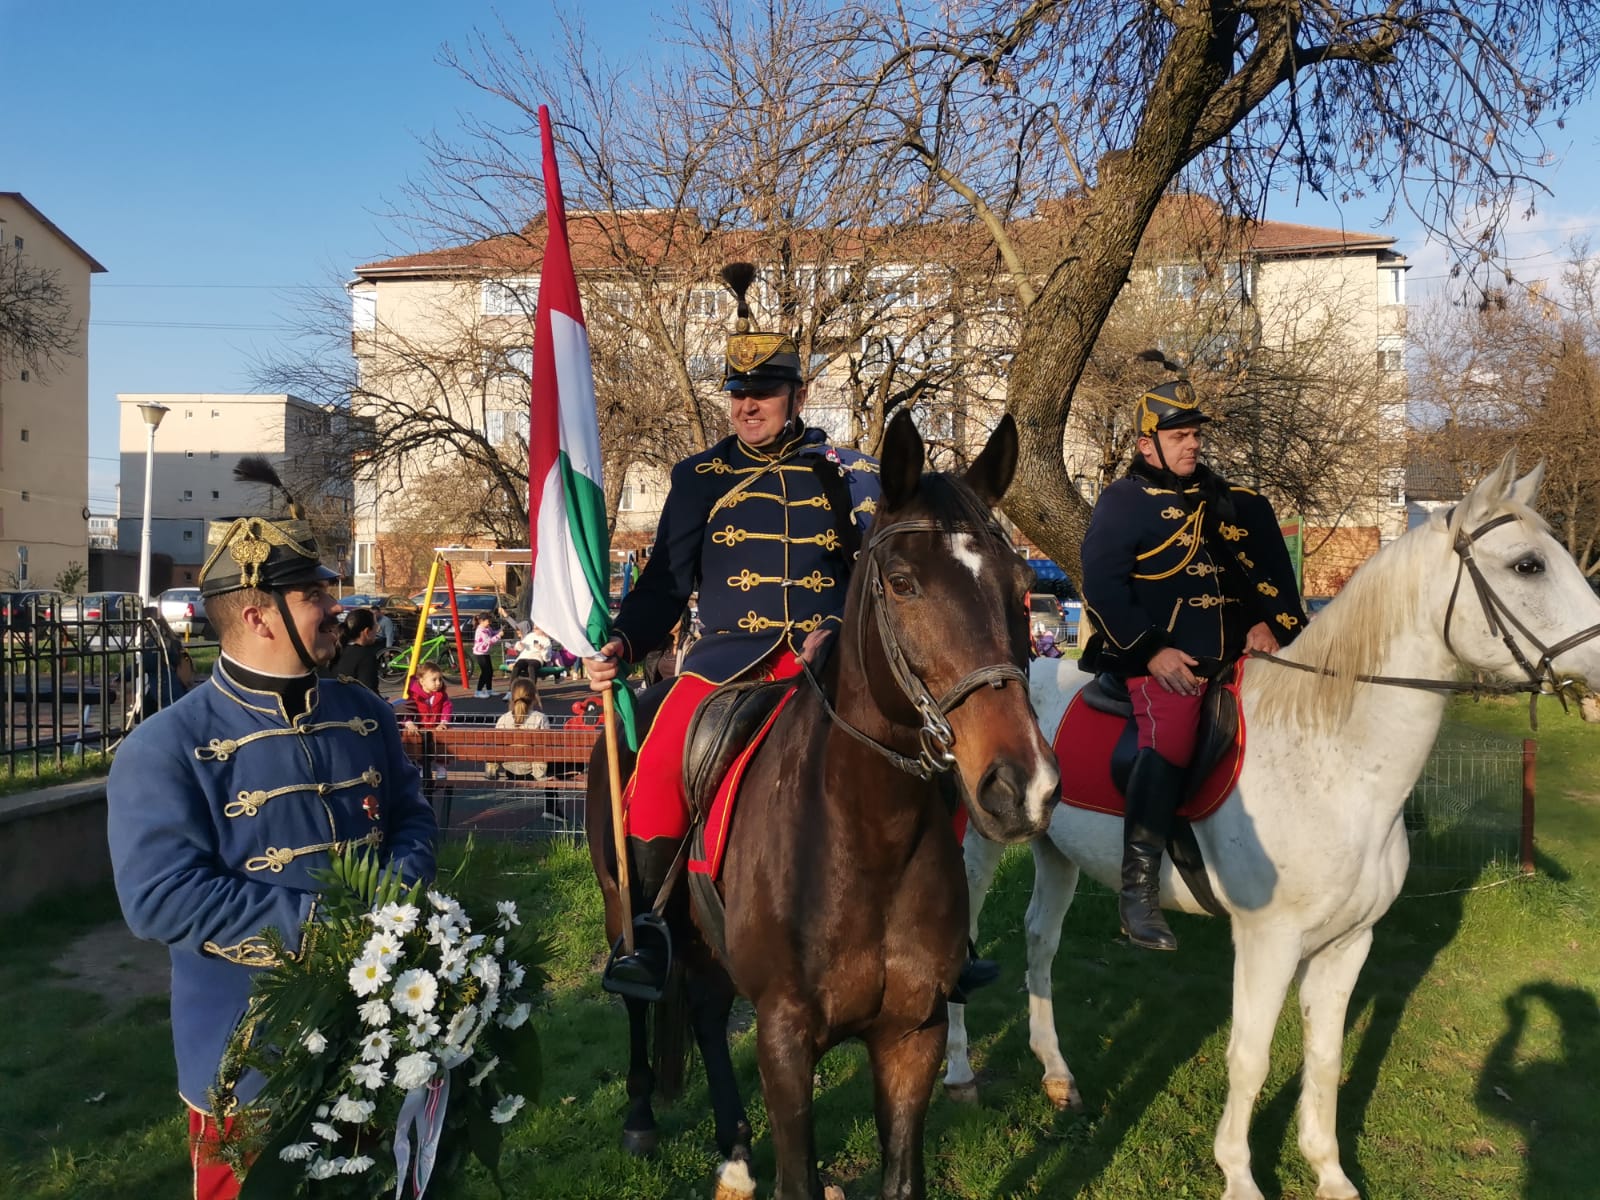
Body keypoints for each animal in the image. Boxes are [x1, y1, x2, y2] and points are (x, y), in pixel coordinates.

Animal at [592, 412, 1062, 1196]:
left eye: (1023, 584)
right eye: (901, 583)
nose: (1022, 784)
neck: (865, 832)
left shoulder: (913, 1035)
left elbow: (902, 1178)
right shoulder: (785, 1039)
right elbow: (801, 1177)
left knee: (710, 1010)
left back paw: (734, 1149)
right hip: (621, 901)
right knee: (640, 990)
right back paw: (637, 1117)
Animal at [940, 460, 1600, 1200]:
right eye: (1527, 565)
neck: (1335, 760)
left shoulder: (1348, 944)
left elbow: (1325, 1056)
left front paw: (1330, 1173)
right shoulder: (1267, 941)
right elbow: (1250, 1057)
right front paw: (1239, 1177)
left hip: (1056, 854)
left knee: (1040, 942)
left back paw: (1057, 1074)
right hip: (976, 847)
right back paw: (960, 1073)